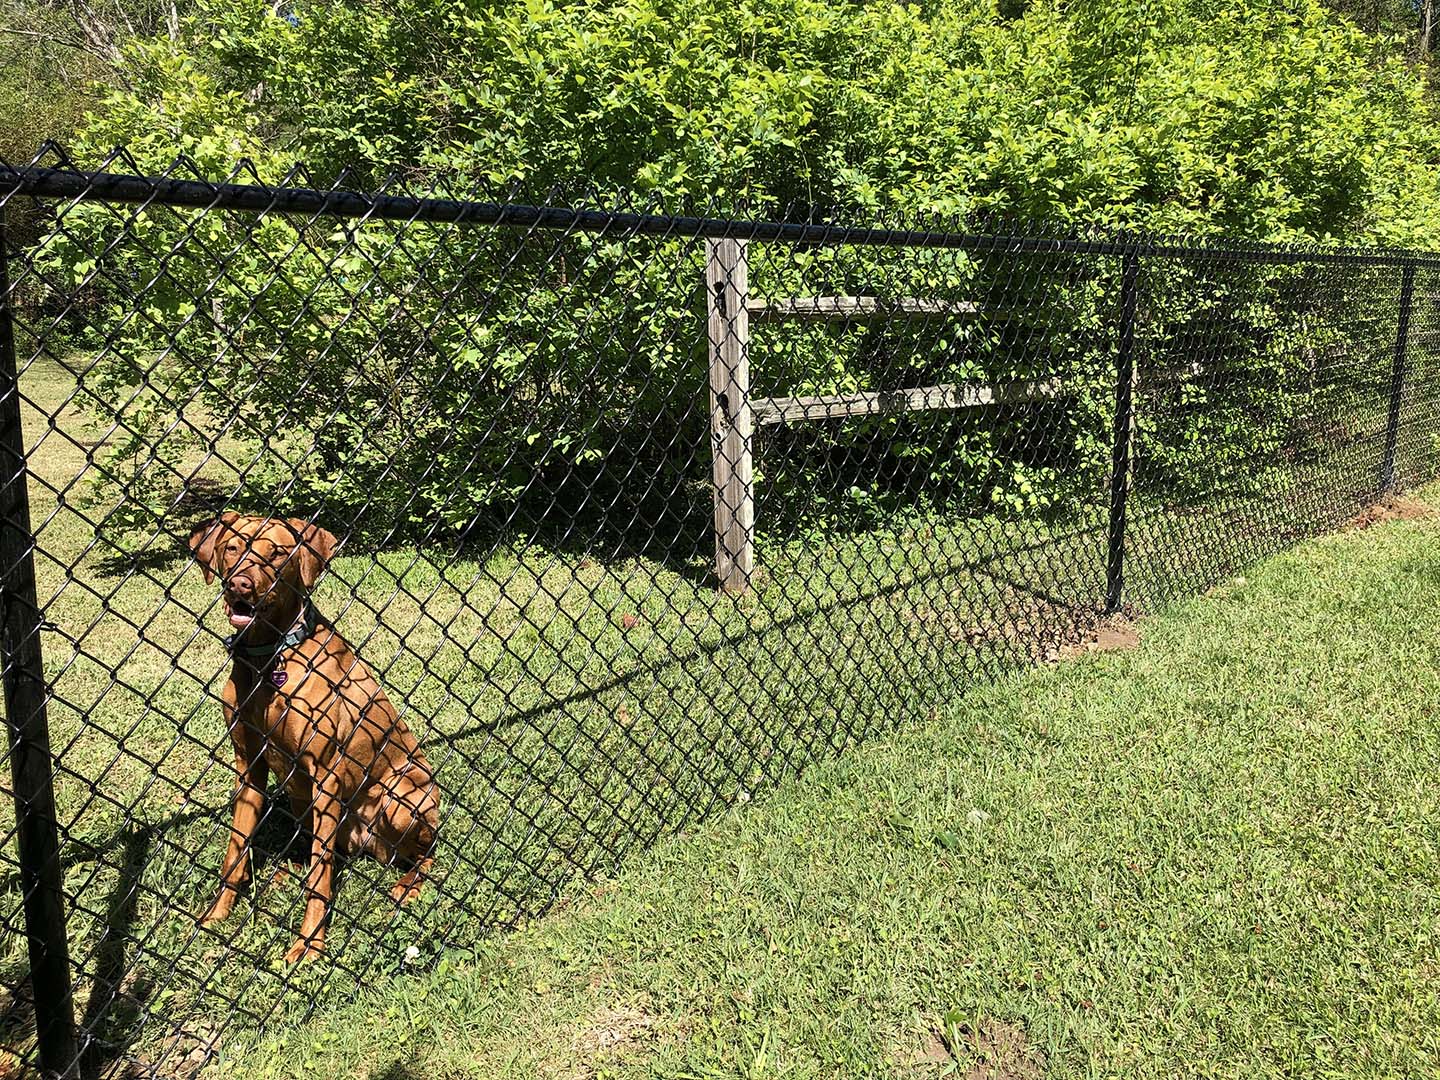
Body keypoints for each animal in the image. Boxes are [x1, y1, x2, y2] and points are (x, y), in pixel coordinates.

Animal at [191, 515, 437, 961]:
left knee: (423, 856)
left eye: (276, 553)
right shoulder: (249, 769)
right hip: (303, 800)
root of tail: (367, 844)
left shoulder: (326, 776)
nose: (240, 585)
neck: (269, 659)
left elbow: (320, 880)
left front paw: (309, 946)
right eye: (233, 548)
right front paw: (216, 915)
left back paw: (406, 887)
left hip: (401, 797)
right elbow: (234, 854)